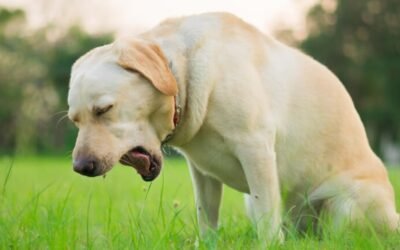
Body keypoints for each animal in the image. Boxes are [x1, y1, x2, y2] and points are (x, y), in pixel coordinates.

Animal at [68, 12, 396, 242]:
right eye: (75, 120)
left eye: (104, 109)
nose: (81, 167)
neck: (184, 74)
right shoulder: (201, 172)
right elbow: (207, 217)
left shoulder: (256, 150)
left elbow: (267, 220)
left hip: (345, 206)